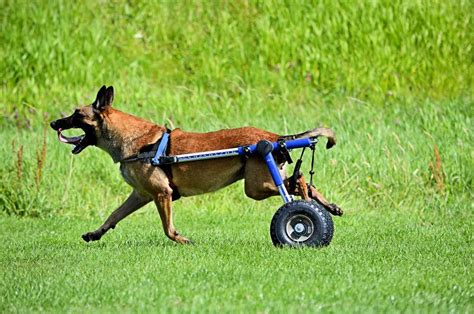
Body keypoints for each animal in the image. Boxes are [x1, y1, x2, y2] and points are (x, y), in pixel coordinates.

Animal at [50, 86, 340, 245]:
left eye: (76, 114)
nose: (53, 123)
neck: (137, 141)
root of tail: (274, 138)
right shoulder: (140, 195)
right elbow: (113, 216)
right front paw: (95, 233)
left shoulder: (161, 194)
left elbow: (167, 229)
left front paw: (182, 240)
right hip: (264, 181)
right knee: (302, 182)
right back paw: (329, 206)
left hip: (256, 186)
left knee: (297, 185)